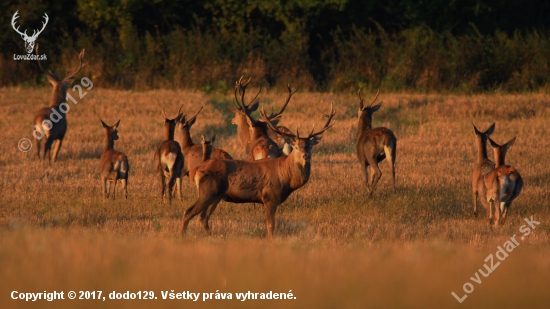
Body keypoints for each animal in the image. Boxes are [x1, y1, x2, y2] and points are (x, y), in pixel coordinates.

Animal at [182, 103, 336, 238]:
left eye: (310, 146)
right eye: (296, 146)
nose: (306, 155)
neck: (286, 178)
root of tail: (196, 170)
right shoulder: (269, 196)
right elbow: (271, 226)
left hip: (216, 195)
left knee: (203, 217)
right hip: (208, 191)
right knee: (189, 211)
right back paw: (182, 236)